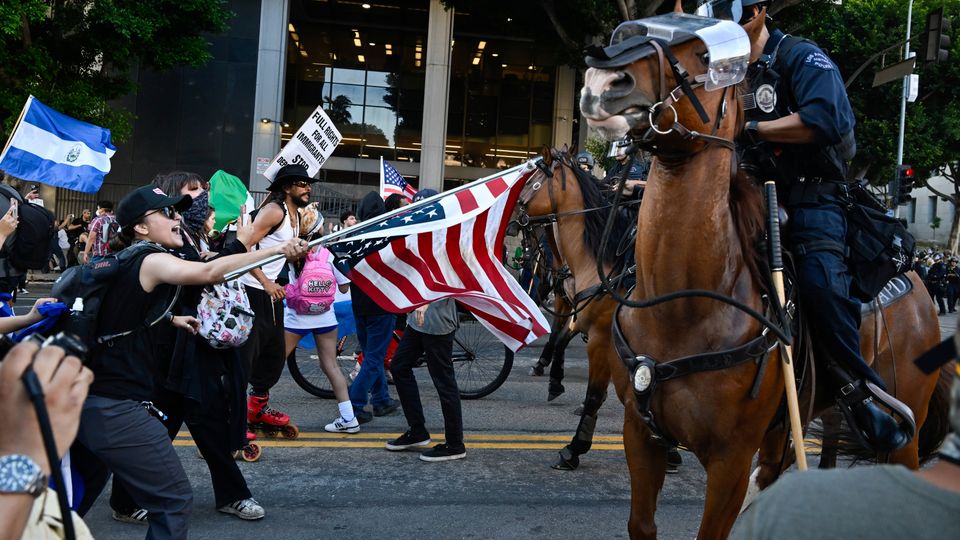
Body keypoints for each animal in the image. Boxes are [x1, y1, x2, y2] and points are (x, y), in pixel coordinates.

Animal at [578, 9, 950, 539]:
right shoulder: (641, 437)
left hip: (905, 432)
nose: (601, 81)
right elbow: (642, 525)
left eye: (706, 55)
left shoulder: (730, 461)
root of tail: (918, 281)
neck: (684, 308)